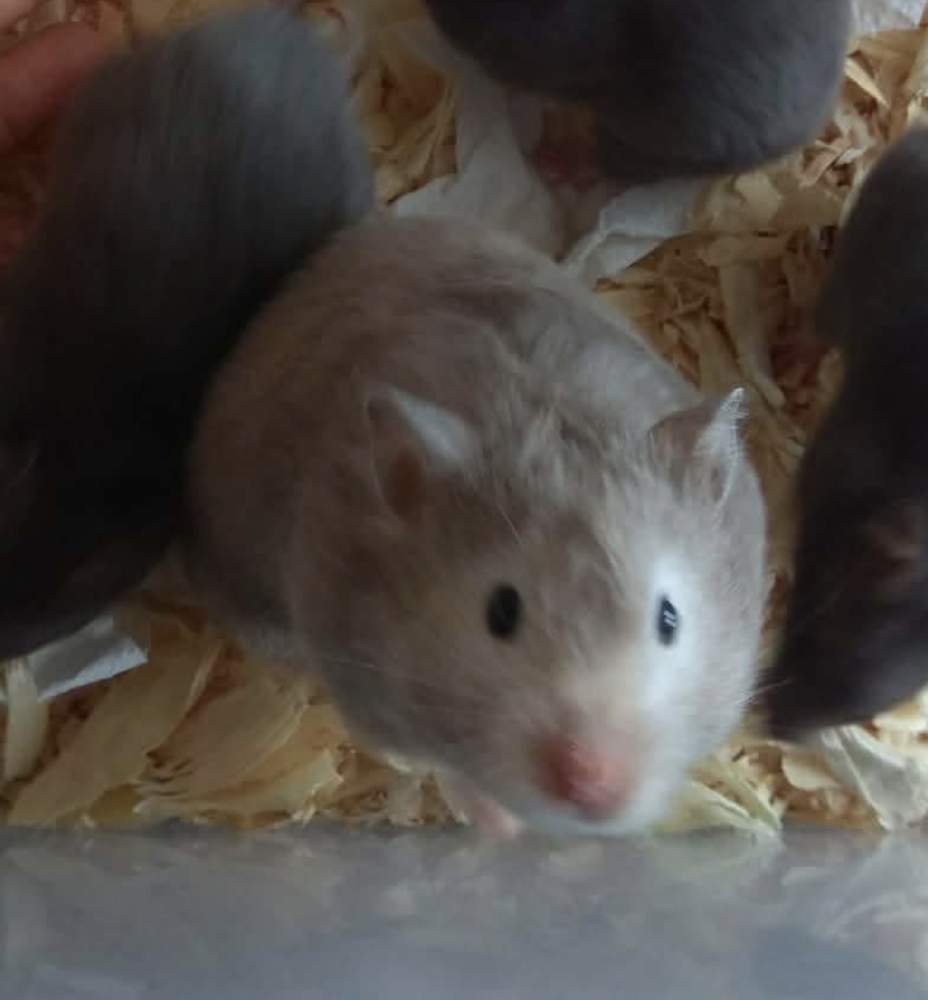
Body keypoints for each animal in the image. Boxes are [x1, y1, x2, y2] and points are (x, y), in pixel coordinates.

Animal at [185, 214, 767, 838]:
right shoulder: (369, 693)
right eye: (501, 612)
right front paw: (501, 829)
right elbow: (441, 764)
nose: (592, 788)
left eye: (669, 618)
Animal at [766, 129, 928, 736]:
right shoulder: (837, 456)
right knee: (821, 322)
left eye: (874, 709)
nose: (772, 727)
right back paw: (789, 358)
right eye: (834, 628)